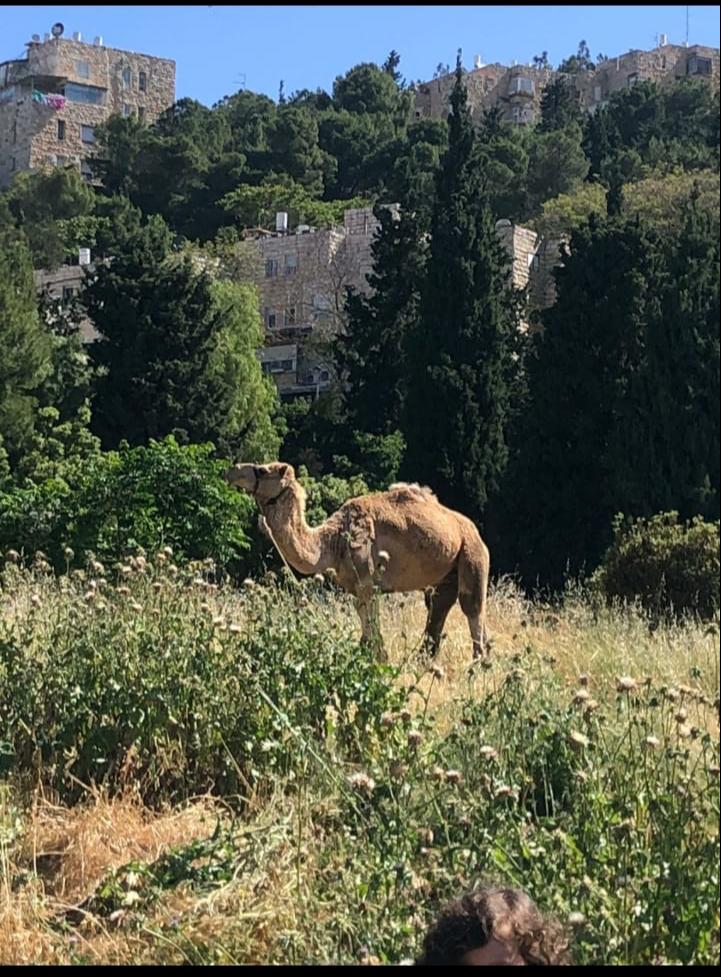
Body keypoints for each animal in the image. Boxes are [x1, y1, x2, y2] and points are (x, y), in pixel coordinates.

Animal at [224, 460, 490, 660]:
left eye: (262, 470)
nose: (232, 469)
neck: (332, 541)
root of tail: (475, 531)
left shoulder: (367, 582)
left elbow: (372, 631)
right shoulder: (355, 587)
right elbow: (365, 630)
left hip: (472, 555)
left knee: (471, 606)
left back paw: (477, 665)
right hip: (446, 573)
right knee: (439, 606)